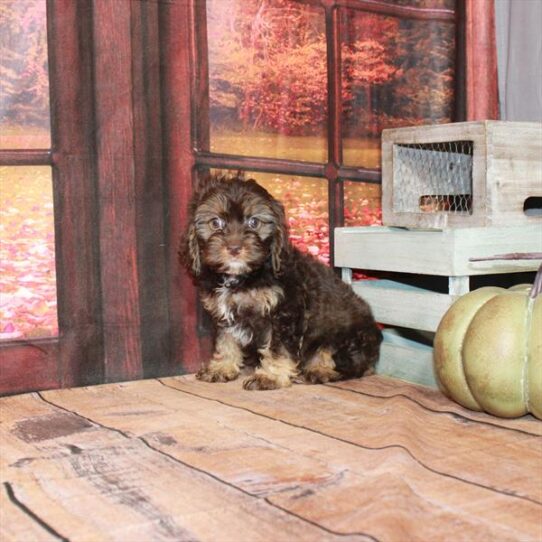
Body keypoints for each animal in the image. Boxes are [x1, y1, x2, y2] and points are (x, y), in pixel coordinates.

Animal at [181, 174, 384, 392]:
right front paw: (222, 367)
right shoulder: (224, 311)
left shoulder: (284, 313)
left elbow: (278, 348)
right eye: (215, 222)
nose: (234, 248)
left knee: (350, 363)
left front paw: (270, 376)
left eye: (254, 222)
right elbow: (225, 339)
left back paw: (319, 371)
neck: (244, 276)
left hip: (346, 337)